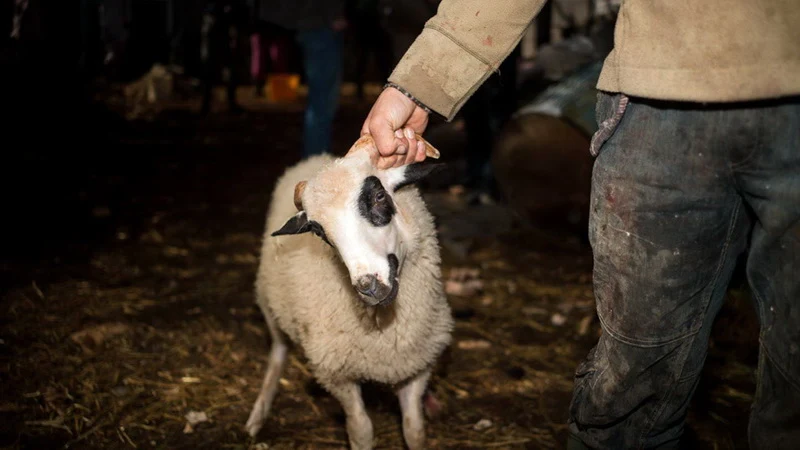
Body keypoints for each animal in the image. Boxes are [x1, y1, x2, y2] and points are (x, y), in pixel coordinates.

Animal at [244, 136, 456, 450]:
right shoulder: (335, 373)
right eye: (317, 231)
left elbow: (414, 430)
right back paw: (258, 414)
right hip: (270, 305)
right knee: (277, 354)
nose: (369, 286)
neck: (383, 328)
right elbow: (361, 430)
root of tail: (317, 157)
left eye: (379, 196)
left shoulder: (417, 364)